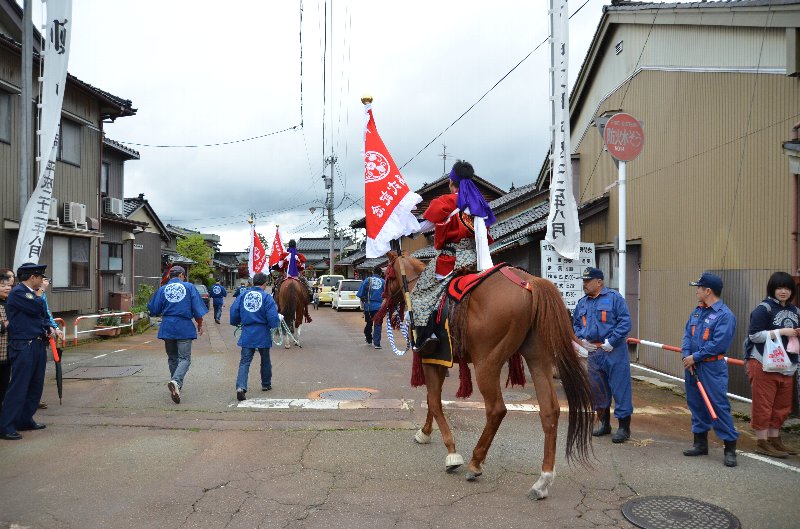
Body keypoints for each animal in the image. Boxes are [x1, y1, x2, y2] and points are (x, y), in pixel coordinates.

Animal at [384, 252, 596, 500]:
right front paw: (425, 433)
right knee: (549, 411)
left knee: (496, 410)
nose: (384, 301)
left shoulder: (430, 359)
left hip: (487, 363)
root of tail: (530, 282)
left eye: (386, 276)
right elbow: (431, 400)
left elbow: (435, 402)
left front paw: (451, 452)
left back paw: (475, 462)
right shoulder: (440, 361)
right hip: (538, 357)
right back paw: (542, 482)